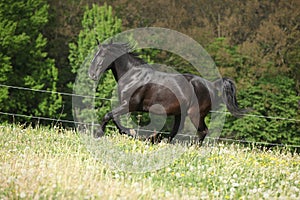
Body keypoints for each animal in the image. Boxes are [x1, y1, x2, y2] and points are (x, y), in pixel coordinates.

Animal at [88, 42, 246, 142]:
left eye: (102, 56)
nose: (92, 74)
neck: (133, 76)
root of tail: (210, 85)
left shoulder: (130, 104)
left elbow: (108, 115)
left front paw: (98, 134)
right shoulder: (125, 105)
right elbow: (114, 118)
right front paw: (130, 133)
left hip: (196, 114)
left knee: (203, 131)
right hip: (180, 114)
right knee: (175, 132)